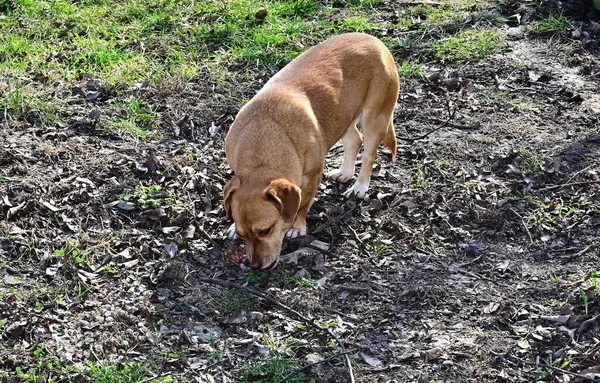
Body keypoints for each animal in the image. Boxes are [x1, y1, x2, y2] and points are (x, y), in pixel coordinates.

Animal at [223, 33, 396, 272]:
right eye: (242, 235)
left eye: (266, 230)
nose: (255, 266)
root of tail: (375, 40)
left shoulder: (312, 175)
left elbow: (303, 204)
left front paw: (297, 227)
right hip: (342, 117)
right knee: (354, 140)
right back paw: (344, 173)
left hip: (375, 118)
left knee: (369, 154)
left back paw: (359, 187)